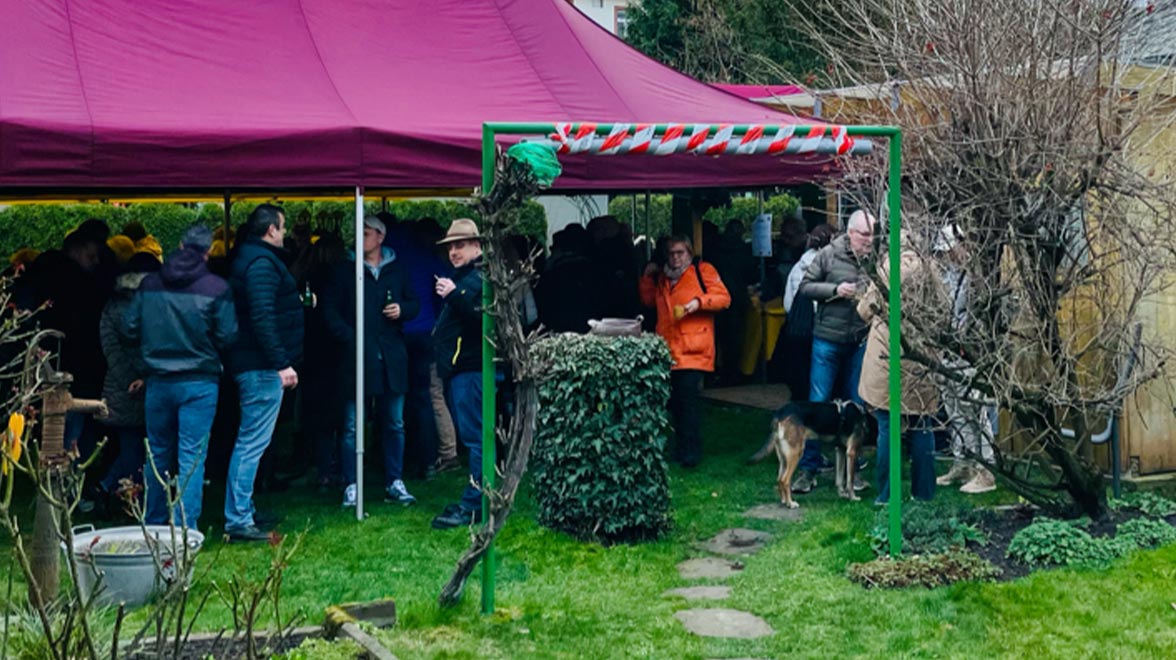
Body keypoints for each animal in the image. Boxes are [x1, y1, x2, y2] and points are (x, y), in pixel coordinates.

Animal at [747, 400, 879, 505]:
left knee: (779, 479)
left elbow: (839, 479)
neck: (864, 418)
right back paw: (790, 504)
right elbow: (849, 481)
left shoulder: (840, 450)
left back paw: (784, 501)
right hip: (796, 453)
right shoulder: (851, 452)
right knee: (785, 480)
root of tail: (780, 413)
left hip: (784, 457)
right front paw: (853, 497)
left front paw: (842, 495)